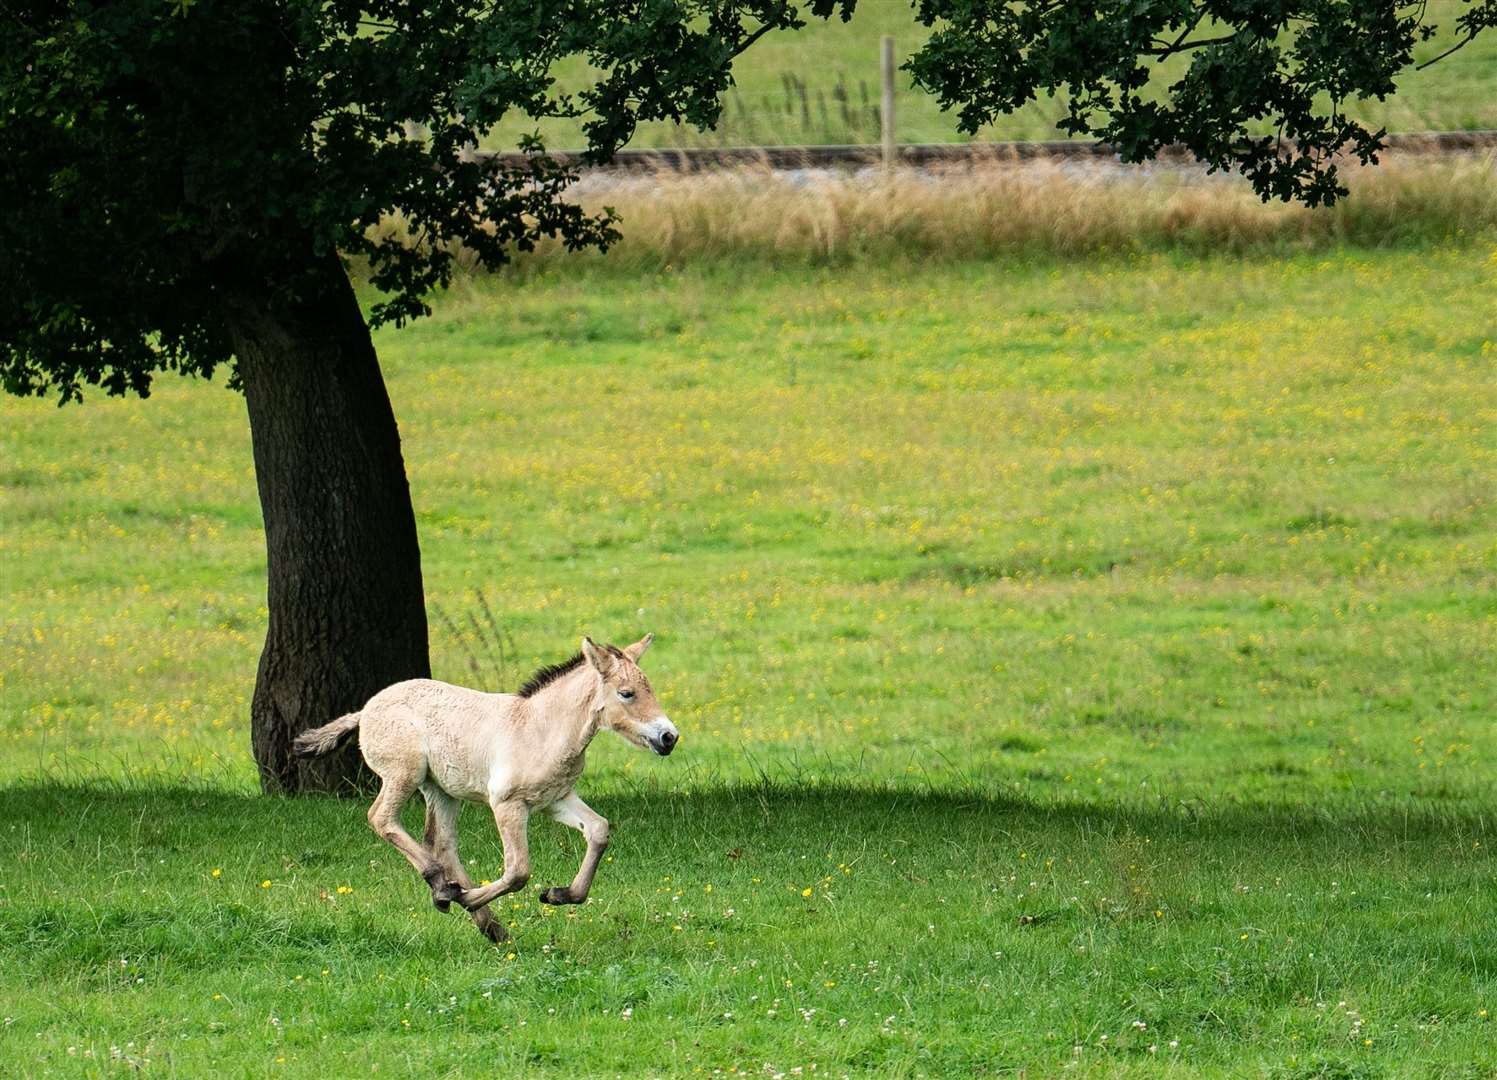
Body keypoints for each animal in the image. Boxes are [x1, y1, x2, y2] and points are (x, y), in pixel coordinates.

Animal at [288, 635, 676, 940]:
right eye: (627, 693)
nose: (669, 737)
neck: (540, 728)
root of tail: (365, 711)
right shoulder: (507, 805)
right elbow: (518, 871)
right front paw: (466, 897)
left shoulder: (557, 800)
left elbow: (598, 830)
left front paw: (558, 894)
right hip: (404, 774)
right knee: (382, 818)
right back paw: (446, 889)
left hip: (441, 791)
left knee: (441, 843)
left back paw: (484, 921)